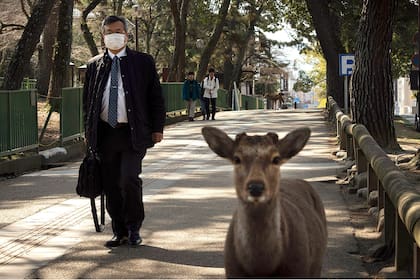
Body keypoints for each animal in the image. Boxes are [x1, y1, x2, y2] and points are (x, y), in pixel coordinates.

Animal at [201, 126, 328, 278]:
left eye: (276, 159)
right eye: (237, 159)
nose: (256, 187)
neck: (262, 268)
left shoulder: (300, 268)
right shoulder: (231, 272)